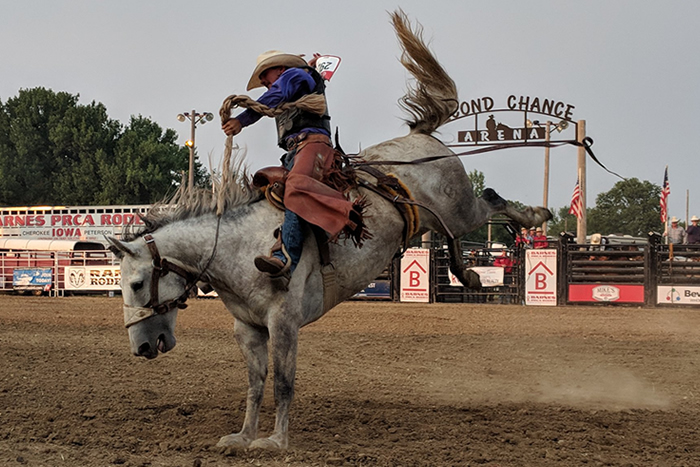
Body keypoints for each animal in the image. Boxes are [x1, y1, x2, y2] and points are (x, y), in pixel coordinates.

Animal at [106, 10, 548, 450]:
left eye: (137, 284)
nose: (140, 346)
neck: (233, 247)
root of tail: (421, 136)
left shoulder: (283, 322)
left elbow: (283, 383)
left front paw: (275, 442)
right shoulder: (247, 329)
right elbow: (255, 383)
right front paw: (243, 436)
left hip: (459, 208)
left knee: (491, 200)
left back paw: (534, 216)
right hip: (440, 219)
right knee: (458, 240)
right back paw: (468, 274)